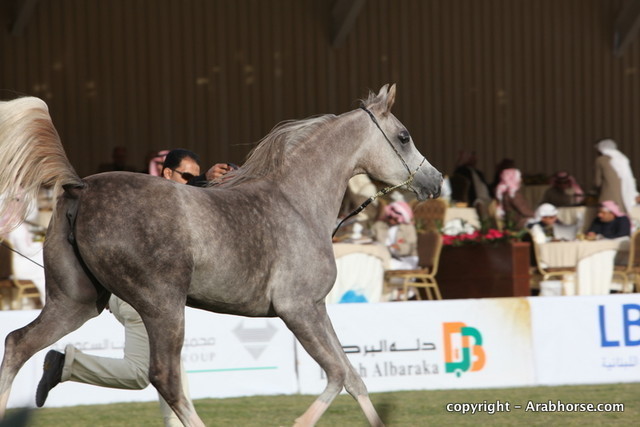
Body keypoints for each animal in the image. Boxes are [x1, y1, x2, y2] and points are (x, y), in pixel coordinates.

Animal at [0, 84, 442, 426]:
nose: (435, 181)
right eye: (404, 136)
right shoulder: (298, 308)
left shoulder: (316, 308)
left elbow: (353, 377)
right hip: (162, 306)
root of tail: (81, 187)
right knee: (166, 378)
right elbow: (335, 373)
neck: (297, 203)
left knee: (18, 343)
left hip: (76, 302)